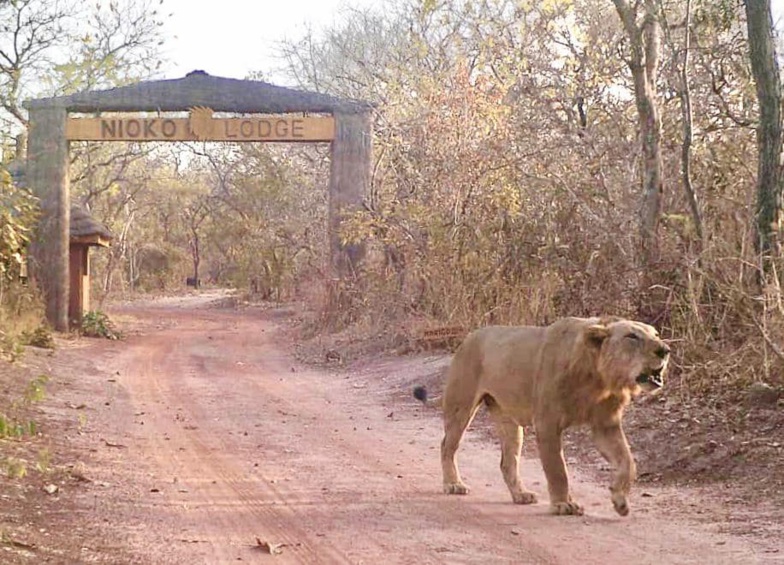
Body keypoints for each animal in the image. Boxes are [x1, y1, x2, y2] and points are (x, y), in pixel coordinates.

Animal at [414, 316, 672, 516]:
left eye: (656, 334)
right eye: (632, 337)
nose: (665, 350)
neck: (600, 380)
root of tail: (467, 338)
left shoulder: (605, 424)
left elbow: (627, 461)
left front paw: (620, 501)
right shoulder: (547, 422)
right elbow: (557, 469)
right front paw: (563, 505)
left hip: (508, 420)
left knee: (507, 461)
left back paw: (520, 495)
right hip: (462, 407)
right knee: (447, 446)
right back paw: (453, 484)